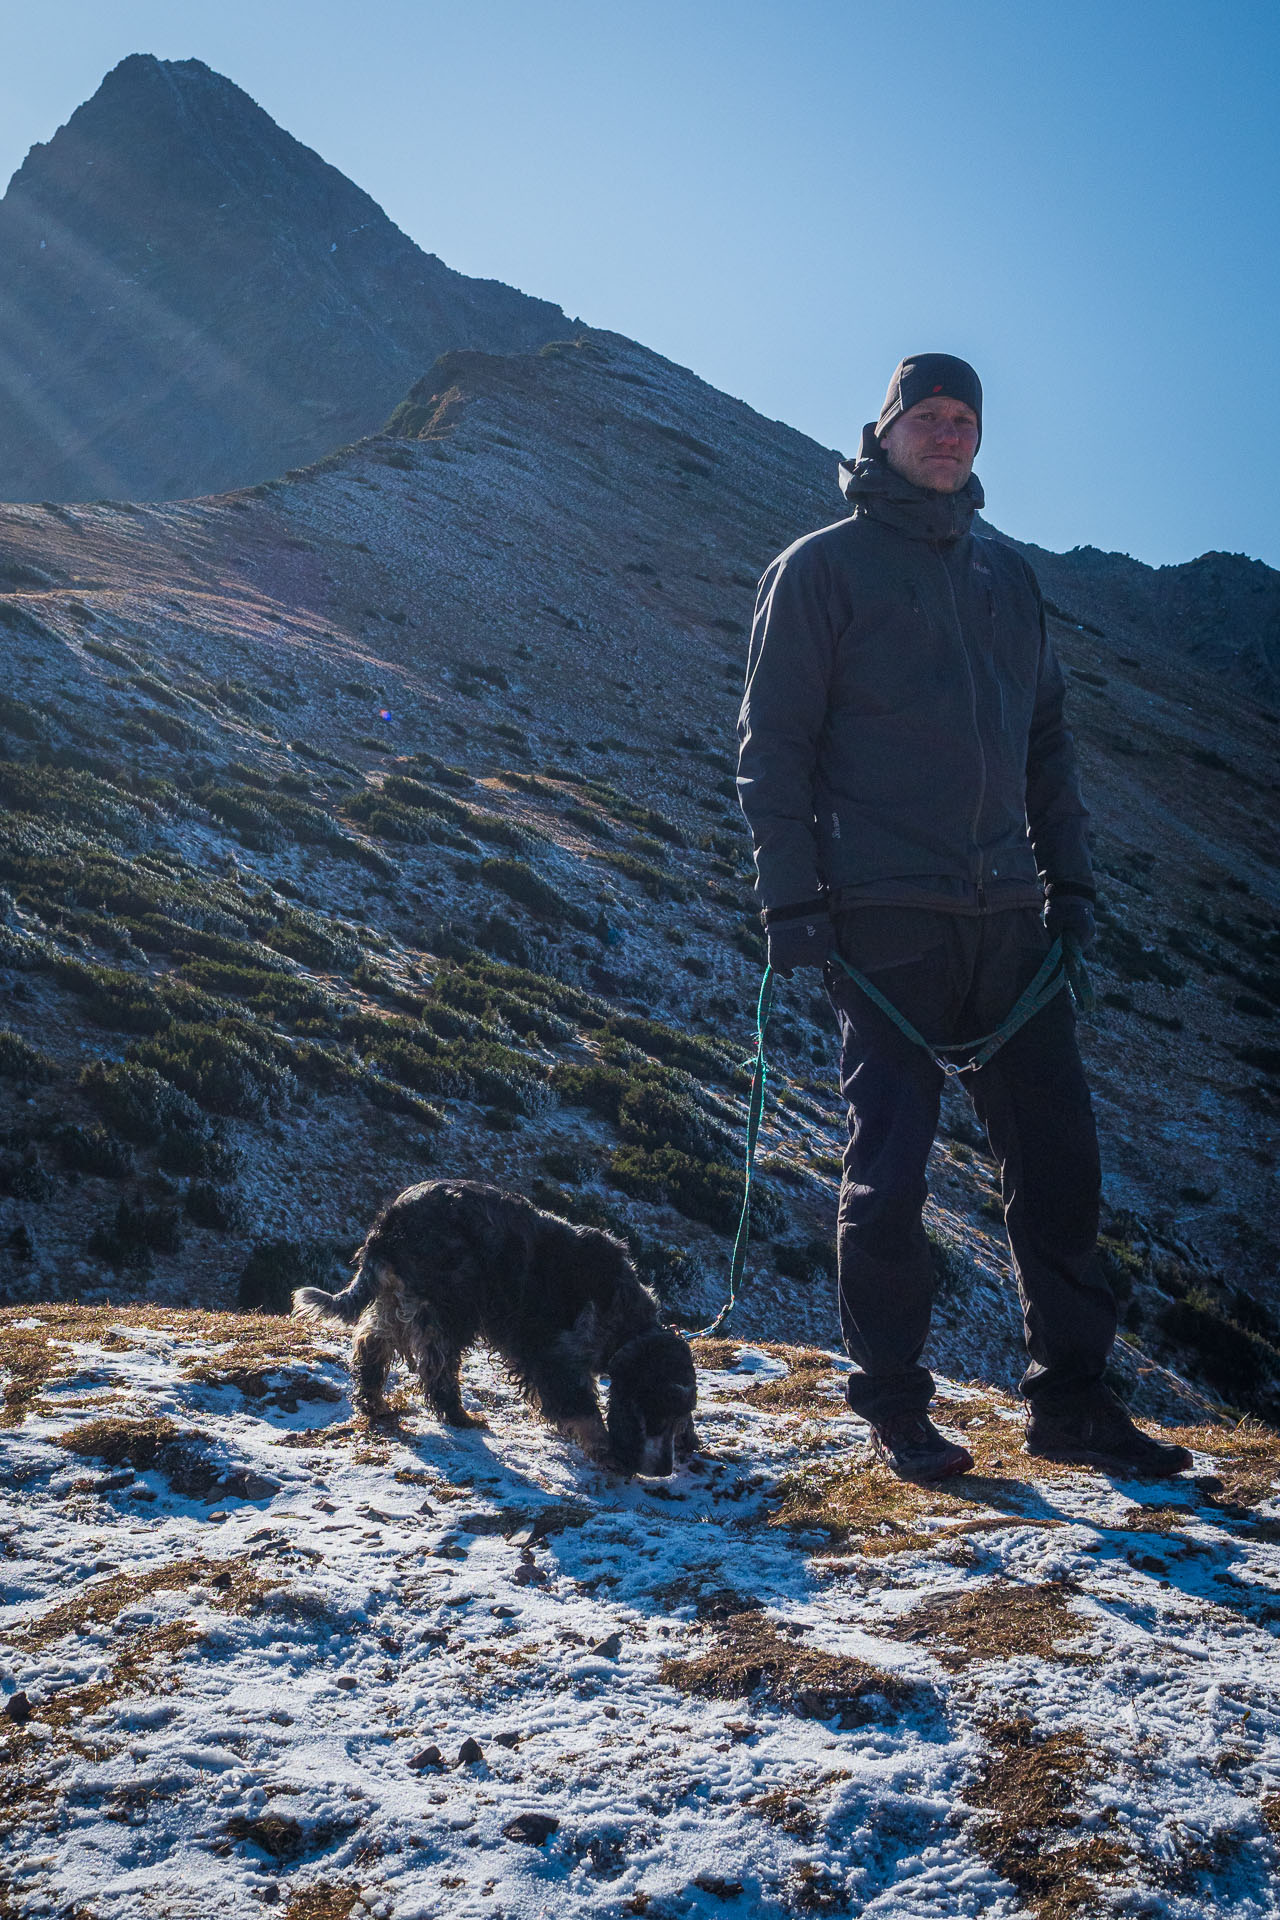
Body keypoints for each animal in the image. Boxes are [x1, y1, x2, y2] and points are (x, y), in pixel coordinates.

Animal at [289, 1175, 694, 1474]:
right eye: (657, 1413)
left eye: (680, 1418)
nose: (664, 1470)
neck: (624, 1317)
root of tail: (390, 1223)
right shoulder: (553, 1354)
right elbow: (581, 1407)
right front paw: (605, 1449)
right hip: (451, 1307)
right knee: (437, 1371)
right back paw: (460, 1416)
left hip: (398, 1297)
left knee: (371, 1344)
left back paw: (373, 1401)